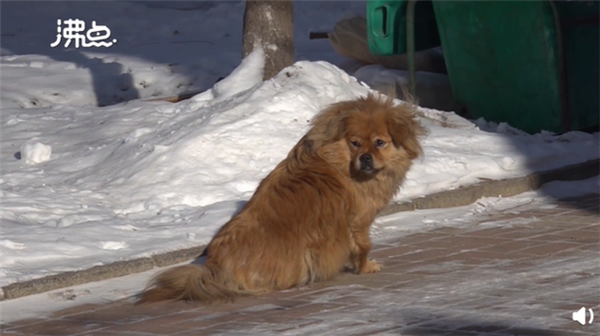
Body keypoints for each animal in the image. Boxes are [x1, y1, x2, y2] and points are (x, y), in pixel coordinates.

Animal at [138, 94, 424, 304]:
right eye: (355, 143)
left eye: (379, 143)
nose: (365, 157)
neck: (339, 162)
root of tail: (216, 269)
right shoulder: (359, 221)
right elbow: (363, 247)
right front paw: (367, 267)